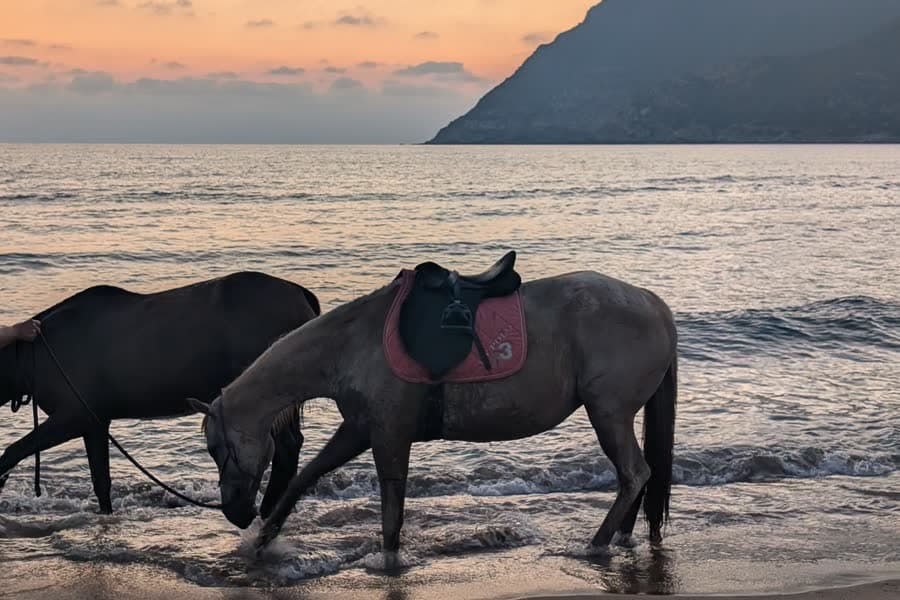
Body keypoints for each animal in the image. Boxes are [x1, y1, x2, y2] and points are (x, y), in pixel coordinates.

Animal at [1, 272, 319, 516]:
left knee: (286, 449)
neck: (34, 353)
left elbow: (11, 453)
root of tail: (300, 294)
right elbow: (101, 481)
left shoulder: (73, 417)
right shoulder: (94, 424)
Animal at [192, 264, 677, 564]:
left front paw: (389, 562)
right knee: (636, 477)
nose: (234, 511)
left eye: (217, 447)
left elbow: (391, 510)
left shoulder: (389, 436)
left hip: (608, 413)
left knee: (634, 473)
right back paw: (622, 536)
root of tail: (652, 303)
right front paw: (261, 541)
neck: (351, 345)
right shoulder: (359, 430)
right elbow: (304, 478)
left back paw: (597, 544)